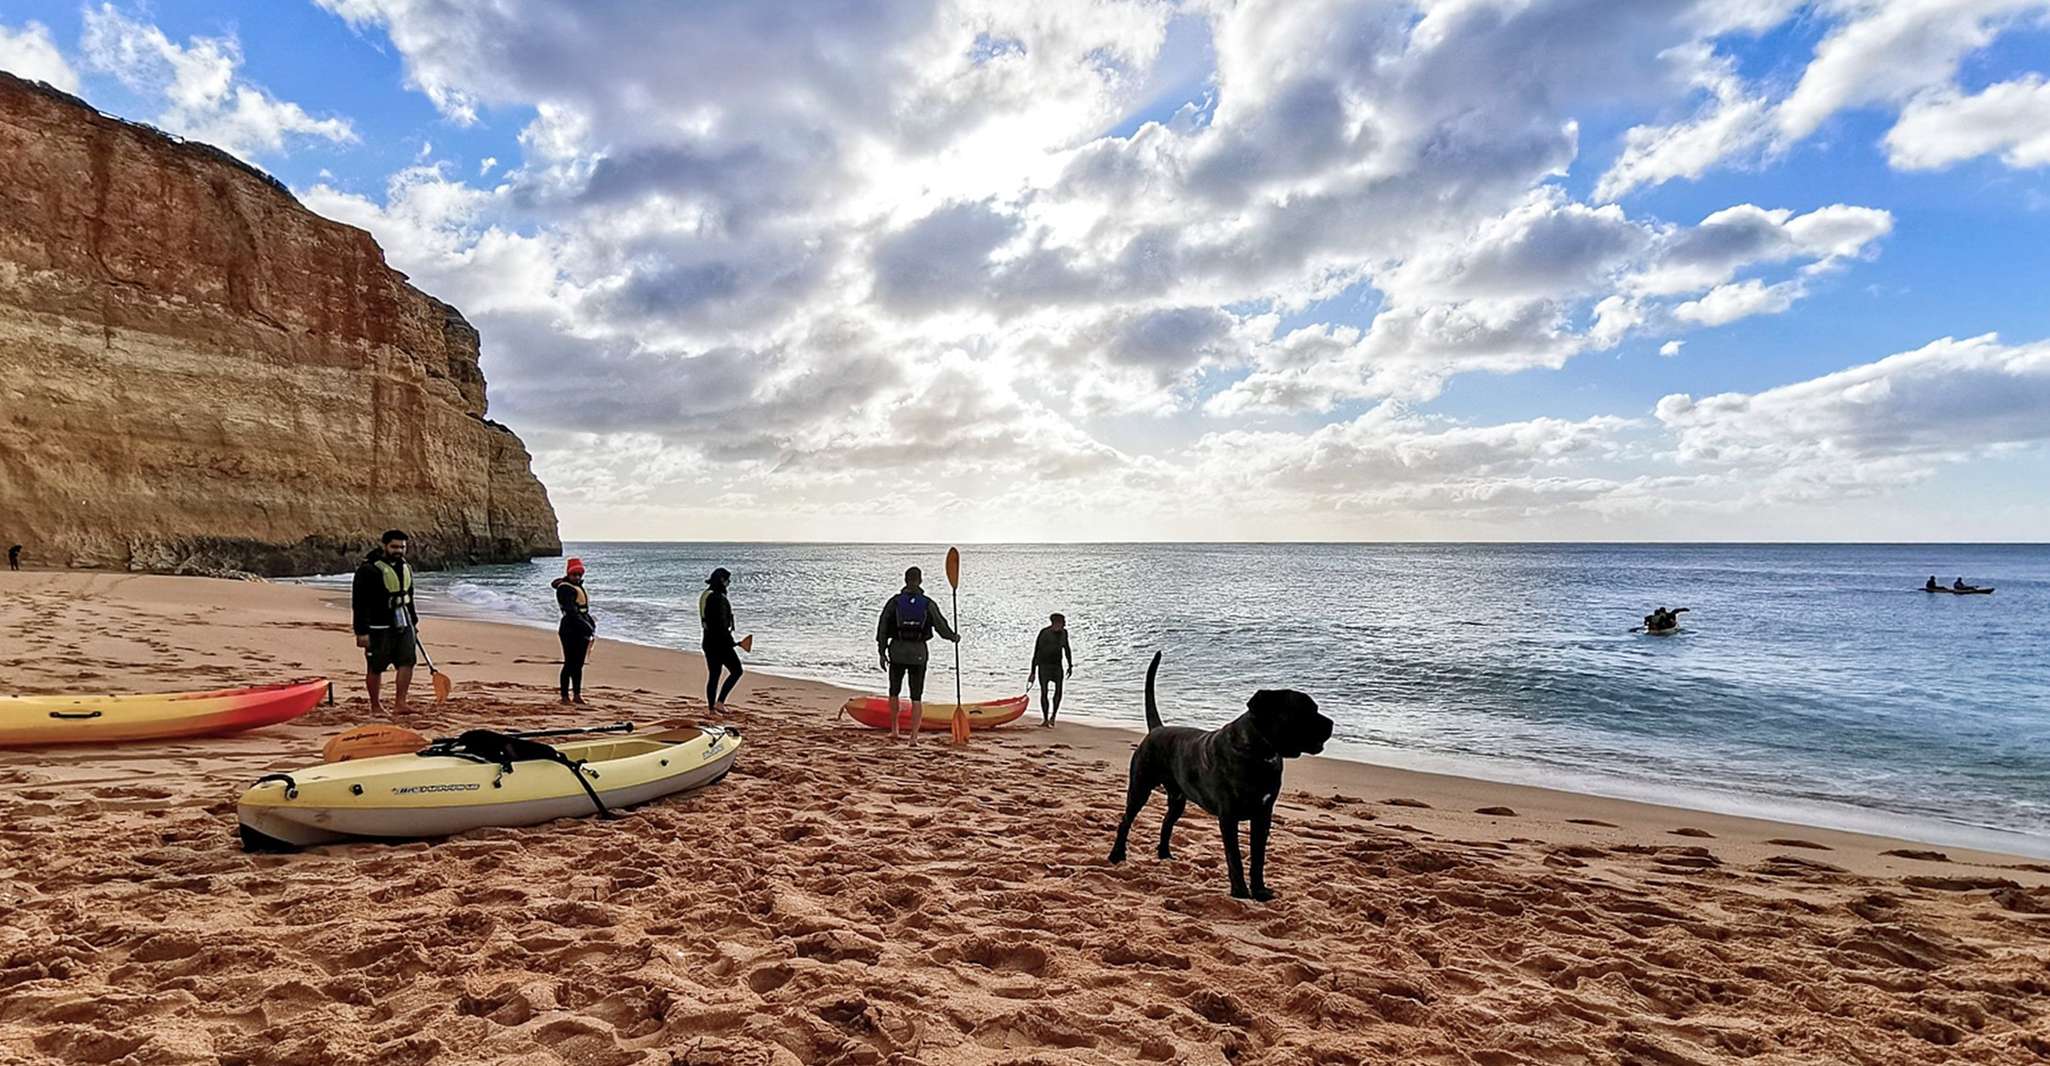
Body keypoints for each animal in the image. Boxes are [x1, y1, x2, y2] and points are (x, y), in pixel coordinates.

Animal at [1107, 647, 1328, 897]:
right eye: (1305, 711)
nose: (1331, 723)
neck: (1259, 752)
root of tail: (1157, 729)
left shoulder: (1263, 815)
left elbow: (1258, 858)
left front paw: (1260, 891)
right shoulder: (1228, 817)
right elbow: (1235, 858)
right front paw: (1240, 892)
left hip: (1178, 799)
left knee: (1166, 823)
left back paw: (1164, 854)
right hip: (1140, 788)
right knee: (1125, 821)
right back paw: (1116, 855)